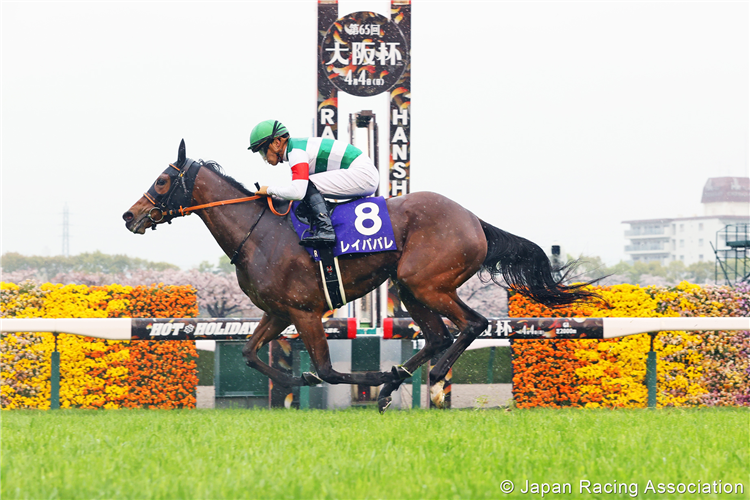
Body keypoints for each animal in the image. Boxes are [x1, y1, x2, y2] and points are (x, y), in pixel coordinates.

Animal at [125, 140, 600, 410]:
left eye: (164, 180)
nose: (130, 216)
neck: (259, 232)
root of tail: (473, 220)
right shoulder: (278, 312)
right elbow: (248, 354)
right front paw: (296, 380)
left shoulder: (306, 312)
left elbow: (328, 371)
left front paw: (367, 379)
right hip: (410, 289)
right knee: (439, 335)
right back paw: (399, 383)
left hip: (427, 281)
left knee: (474, 323)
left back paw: (430, 382)